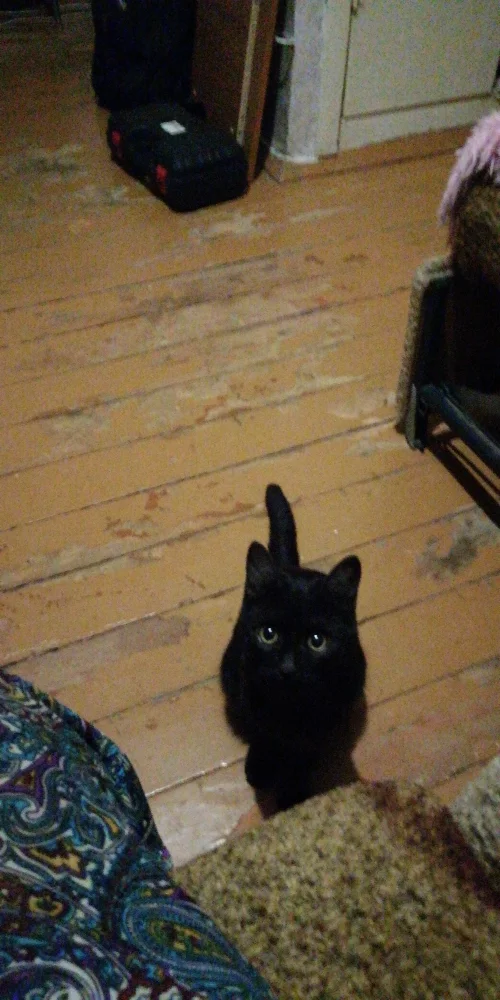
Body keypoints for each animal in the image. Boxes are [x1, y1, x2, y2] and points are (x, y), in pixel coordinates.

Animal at [221, 484, 367, 811]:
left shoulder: (323, 721)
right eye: (268, 634)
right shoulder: (252, 692)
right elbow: (263, 733)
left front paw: (294, 794)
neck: (289, 710)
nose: (287, 668)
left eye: (317, 641)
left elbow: (304, 755)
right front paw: (259, 767)